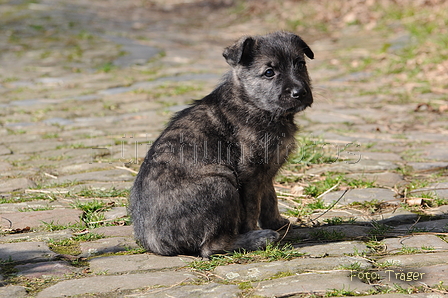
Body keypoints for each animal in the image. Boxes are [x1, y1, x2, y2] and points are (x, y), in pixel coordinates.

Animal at [130, 30, 314, 258]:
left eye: (300, 64)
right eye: (269, 72)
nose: (300, 92)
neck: (251, 102)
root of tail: (154, 243)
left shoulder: (265, 173)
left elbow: (270, 199)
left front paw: (279, 224)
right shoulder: (250, 174)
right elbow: (252, 208)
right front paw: (257, 230)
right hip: (221, 183)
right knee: (212, 247)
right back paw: (258, 239)